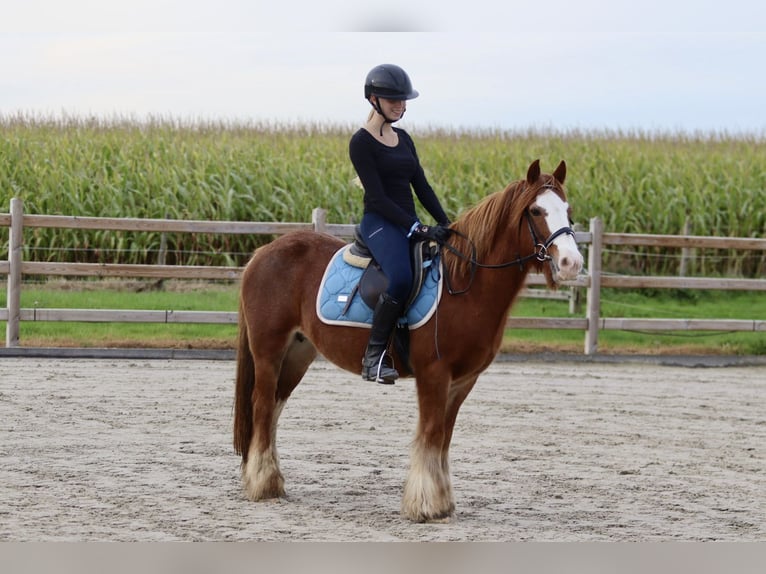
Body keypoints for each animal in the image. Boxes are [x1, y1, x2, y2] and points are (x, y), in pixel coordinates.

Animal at [232, 160, 584, 524]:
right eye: (536, 210)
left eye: (568, 210)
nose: (572, 263)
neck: (464, 285)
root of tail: (262, 252)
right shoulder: (434, 374)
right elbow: (431, 434)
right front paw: (425, 504)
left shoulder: (462, 382)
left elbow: (443, 437)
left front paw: (441, 502)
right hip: (269, 351)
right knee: (261, 406)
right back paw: (261, 484)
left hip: (298, 352)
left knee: (274, 409)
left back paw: (271, 481)